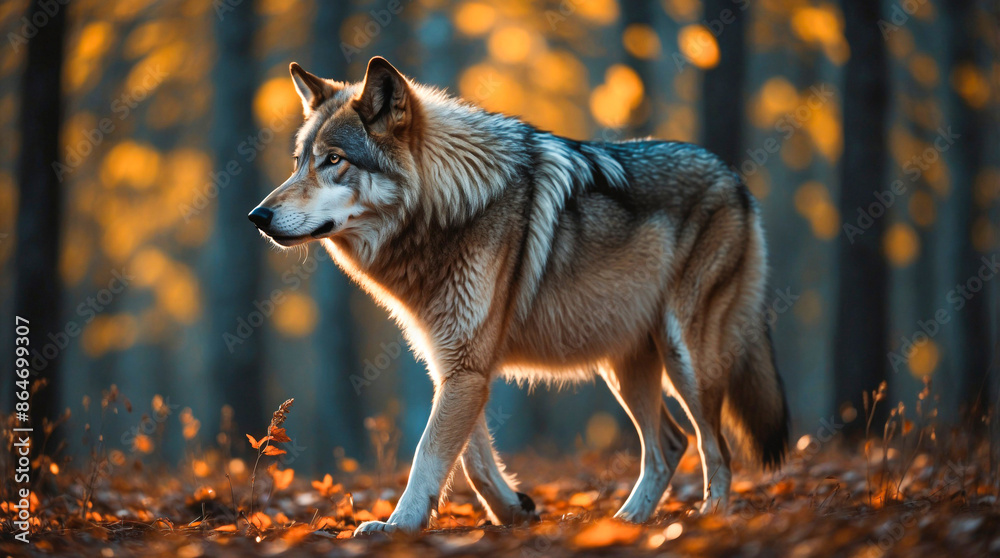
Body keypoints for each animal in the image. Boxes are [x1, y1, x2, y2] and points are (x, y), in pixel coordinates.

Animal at [249, 57, 790, 535]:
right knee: (671, 446)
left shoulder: (466, 366)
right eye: (299, 163)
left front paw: (397, 526)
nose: (257, 216)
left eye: (333, 161)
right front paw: (512, 510)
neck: (449, 209)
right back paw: (627, 521)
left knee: (715, 448)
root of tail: (735, 179)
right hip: (625, 367)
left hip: (685, 361)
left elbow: (429, 453)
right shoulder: (454, 364)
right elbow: (471, 459)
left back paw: (709, 519)